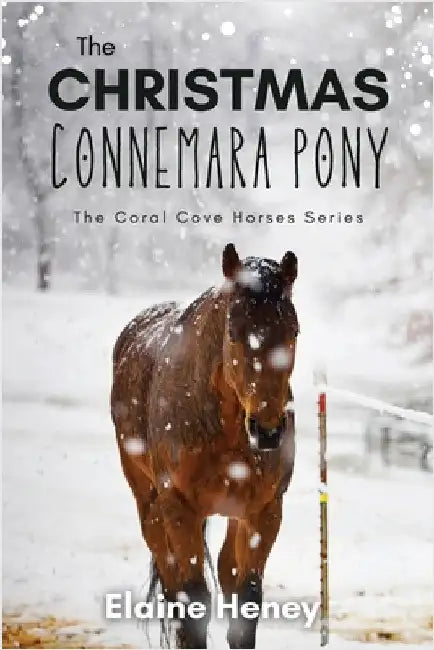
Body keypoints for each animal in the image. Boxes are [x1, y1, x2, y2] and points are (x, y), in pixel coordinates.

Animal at [111, 243, 299, 648]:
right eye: (233, 331)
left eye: (293, 330)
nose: (267, 430)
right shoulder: (179, 508)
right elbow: (193, 598)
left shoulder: (264, 510)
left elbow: (247, 598)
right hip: (150, 506)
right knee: (173, 585)